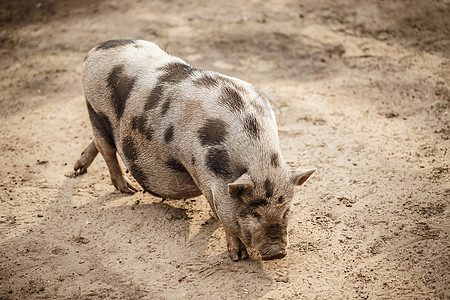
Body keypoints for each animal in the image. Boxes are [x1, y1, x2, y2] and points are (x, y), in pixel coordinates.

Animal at [74, 39, 316, 260]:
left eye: (286, 210)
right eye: (252, 212)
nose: (276, 252)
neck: (259, 161)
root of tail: (95, 49)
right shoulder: (201, 173)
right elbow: (219, 211)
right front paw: (238, 257)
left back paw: (79, 169)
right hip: (95, 110)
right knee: (106, 148)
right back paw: (127, 189)